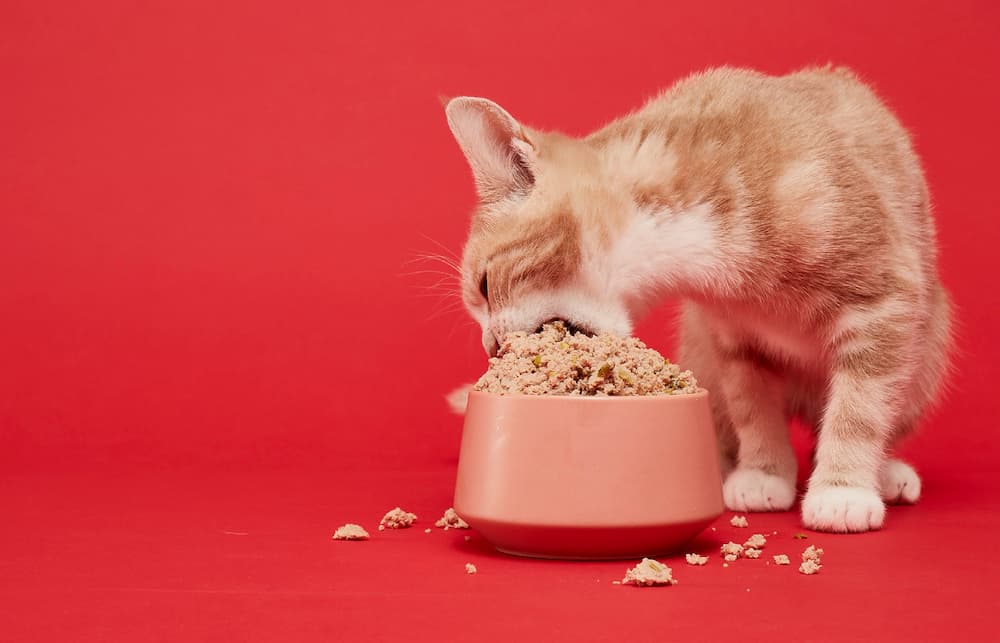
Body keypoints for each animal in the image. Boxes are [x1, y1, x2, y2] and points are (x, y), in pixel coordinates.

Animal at [444, 65, 952, 532]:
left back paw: (884, 472)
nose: (491, 347)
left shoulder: (885, 296)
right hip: (699, 344)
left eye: (485, 285)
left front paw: (842, 490)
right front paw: (765, 471)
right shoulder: (731, 335)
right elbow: (752, 406)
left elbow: (861, 404)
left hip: (928, 342)